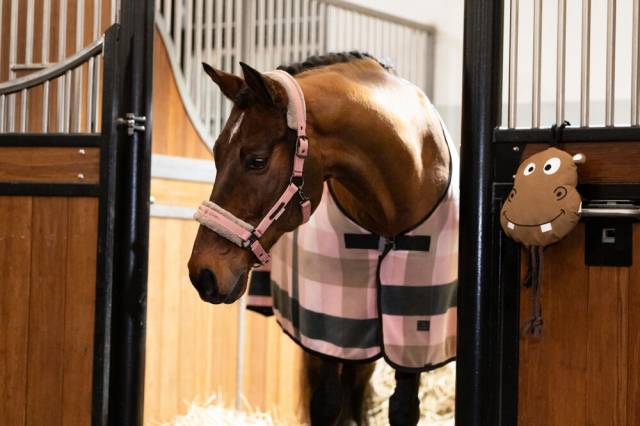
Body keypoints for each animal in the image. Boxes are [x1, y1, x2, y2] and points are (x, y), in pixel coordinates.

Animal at [188, 51, 457, 425]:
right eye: (216, 153)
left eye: (256, 160)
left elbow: (403, 408)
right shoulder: (328, 331)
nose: (203, 273)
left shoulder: (413, 342)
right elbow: (327, 404)